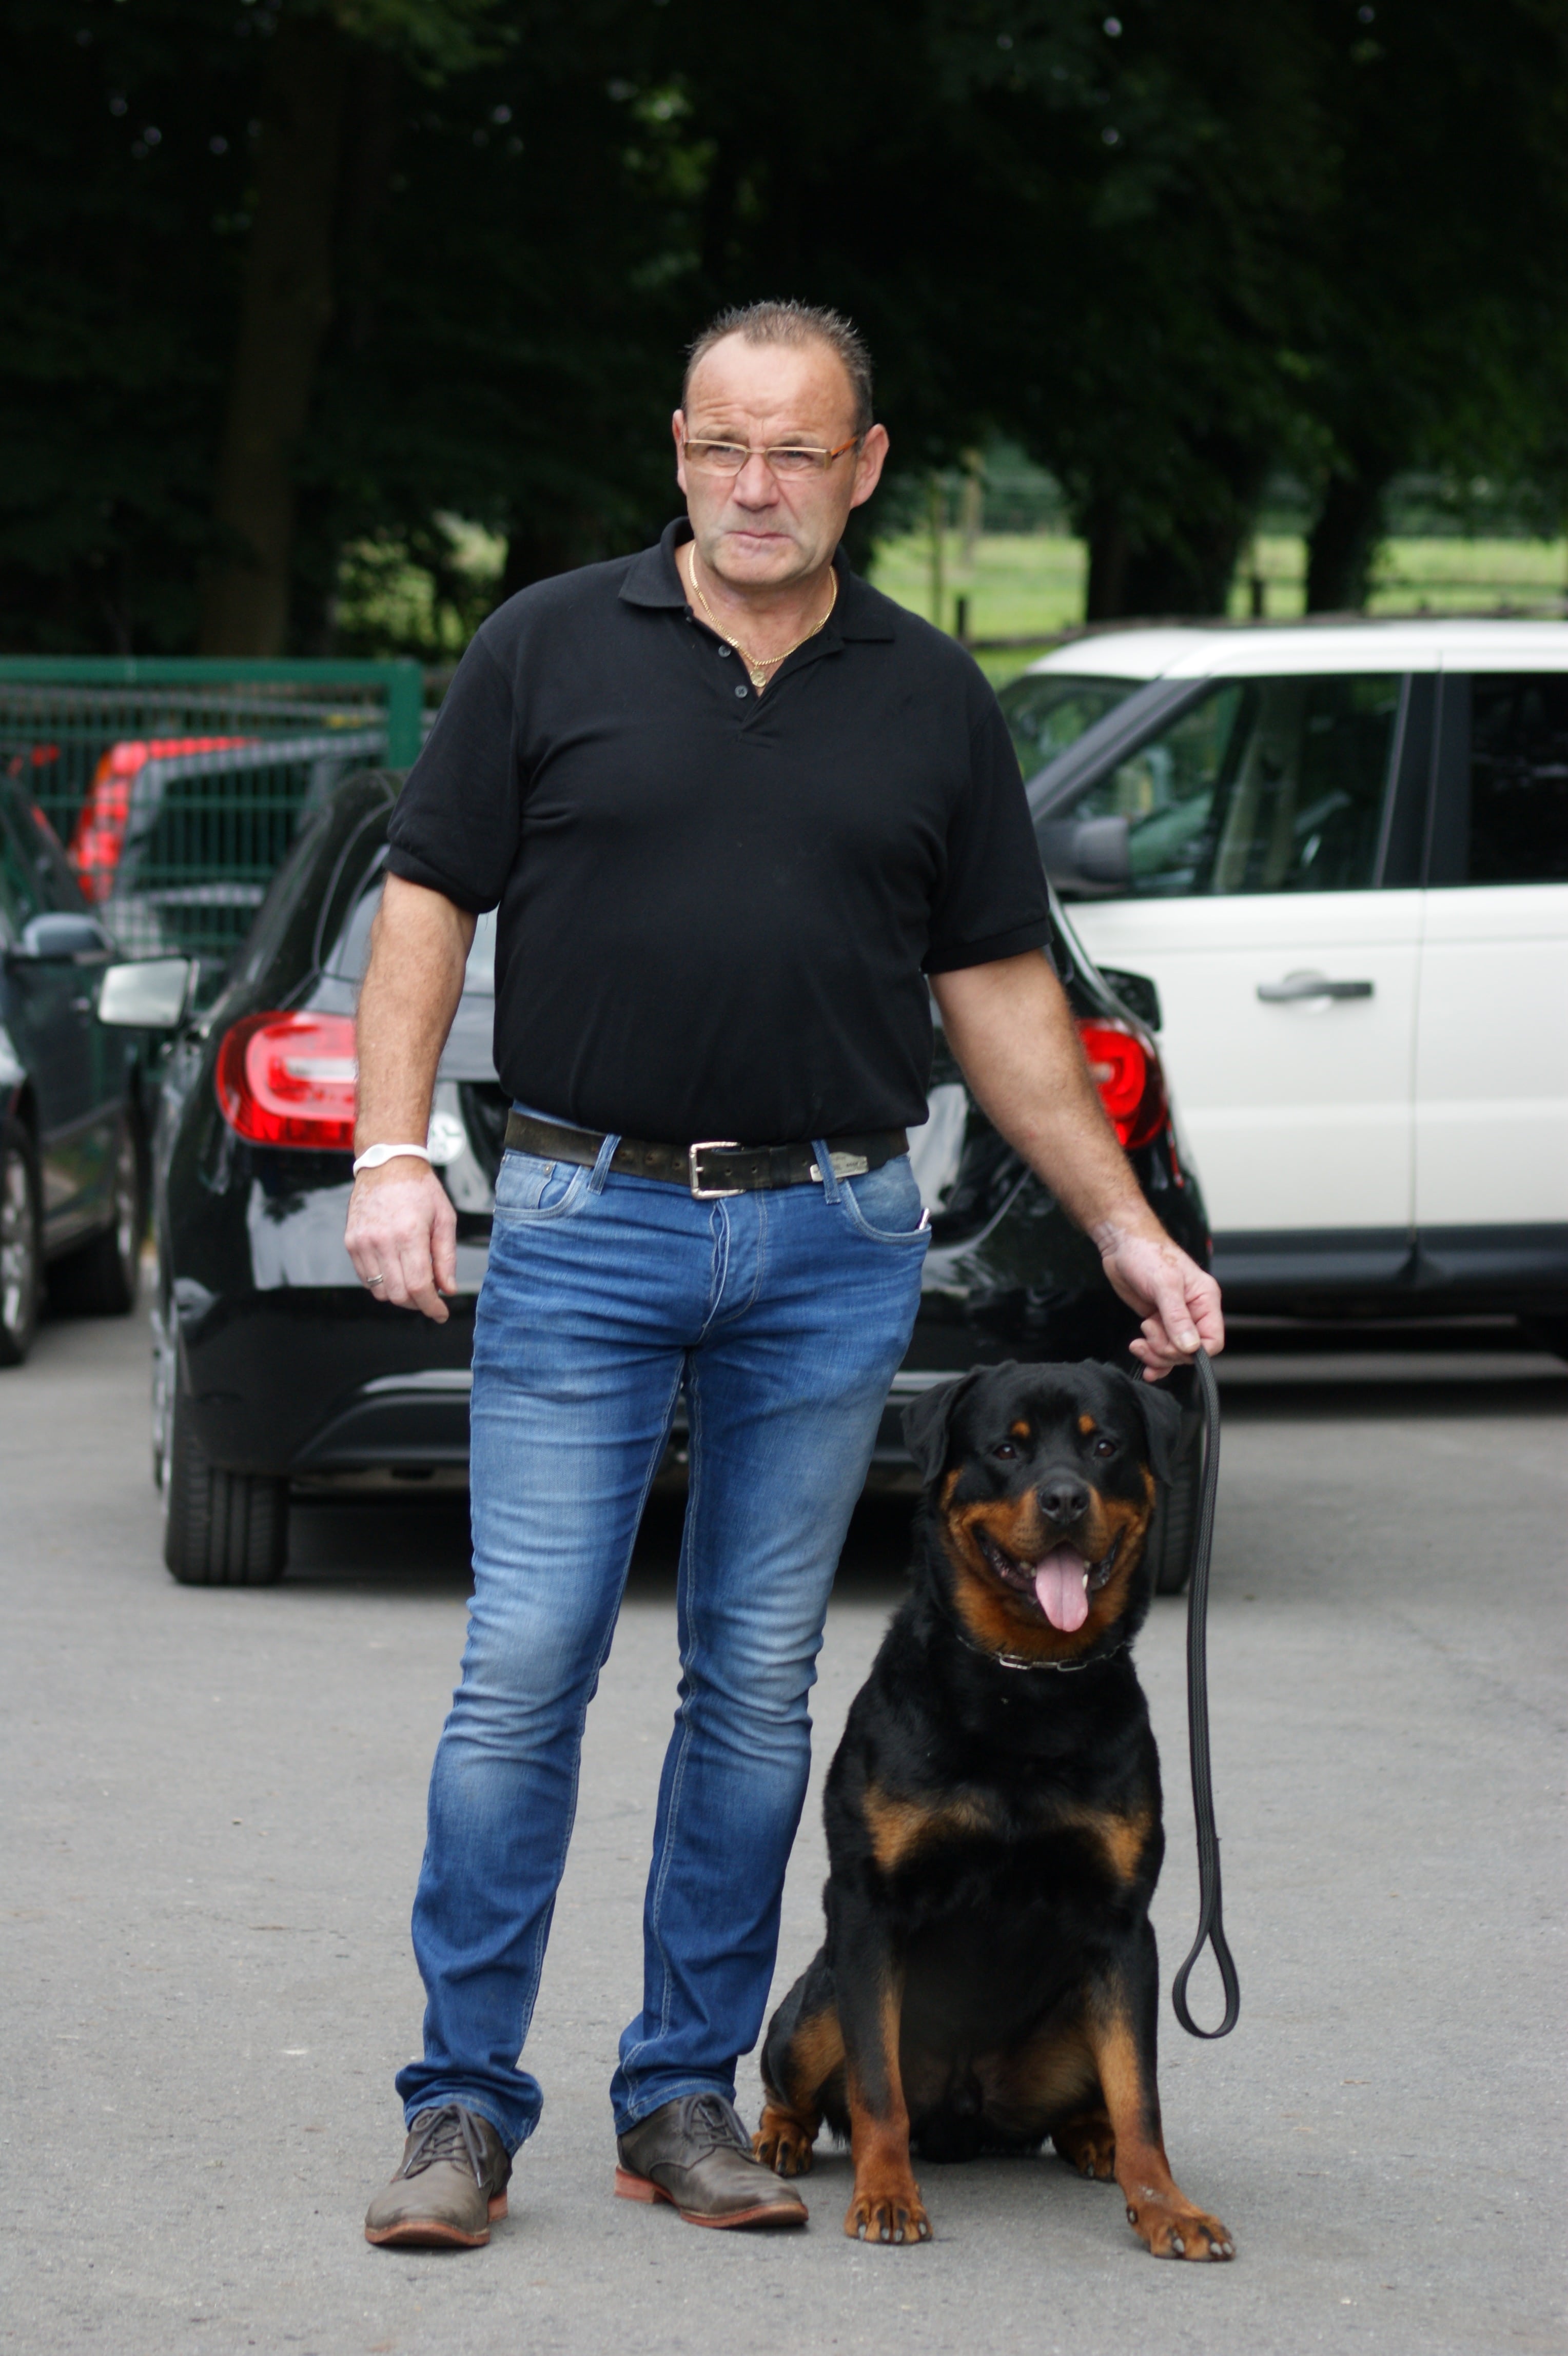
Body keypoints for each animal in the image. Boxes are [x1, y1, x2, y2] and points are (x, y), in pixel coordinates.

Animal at [753, 1358, 1234, 2260]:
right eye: (1006, 1450)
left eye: (1106, 1447)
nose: (1065, 1499)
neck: (1027, 1684)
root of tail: (964, 2115)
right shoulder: (868, 1905)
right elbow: (877, 2090)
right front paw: (885, 2195)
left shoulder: (1124, 1928)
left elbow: (1141, 2095)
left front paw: (1167, 2206)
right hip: (821, 1999)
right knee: (802, 2080)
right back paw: (778, 2138)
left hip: (1081, 2008)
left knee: (1096, 2099)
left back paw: (1096, 2144)